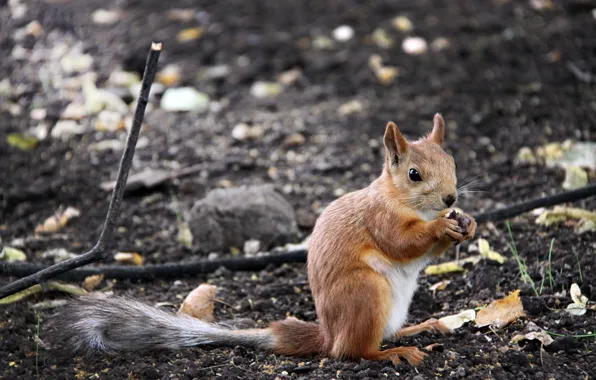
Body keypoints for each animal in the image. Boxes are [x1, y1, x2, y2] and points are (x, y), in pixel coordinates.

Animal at [56, 114, 474, 366]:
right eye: (414, 174)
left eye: (453, 162)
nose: (451, 198)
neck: (400, 200)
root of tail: (328, 332)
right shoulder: (379, 220)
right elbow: (400, 244)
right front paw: (440, 229)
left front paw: (466, 224)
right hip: (366, 294)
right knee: (351, 351)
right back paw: (394, 352)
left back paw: (420, 328)